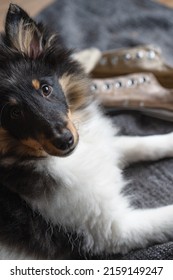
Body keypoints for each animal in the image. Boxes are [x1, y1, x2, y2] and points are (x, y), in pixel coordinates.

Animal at [0, 3, 173, 260]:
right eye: (14, 113)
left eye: (45, 89)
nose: (65, 141)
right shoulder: (111, 229)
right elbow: (165, 217)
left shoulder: (96, 145)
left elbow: (138, 143)